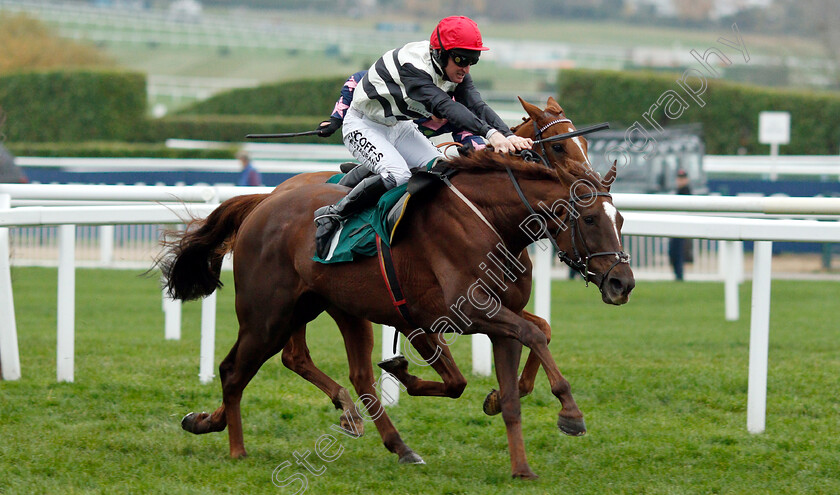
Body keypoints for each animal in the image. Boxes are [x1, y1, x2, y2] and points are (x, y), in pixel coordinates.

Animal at [161, 105, 632, 480]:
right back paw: (236, 447)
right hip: (267, 315)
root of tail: (262, 204)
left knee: (346, 373)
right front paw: (569, 413)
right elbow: (519, 343)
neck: (489, 220)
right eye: (591, 219)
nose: (622, 282)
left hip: (331, 309)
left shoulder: (492, 317)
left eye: (621, 218)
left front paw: (513, 441)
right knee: (235, 370)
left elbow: (532, 343)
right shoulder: (453, 314)